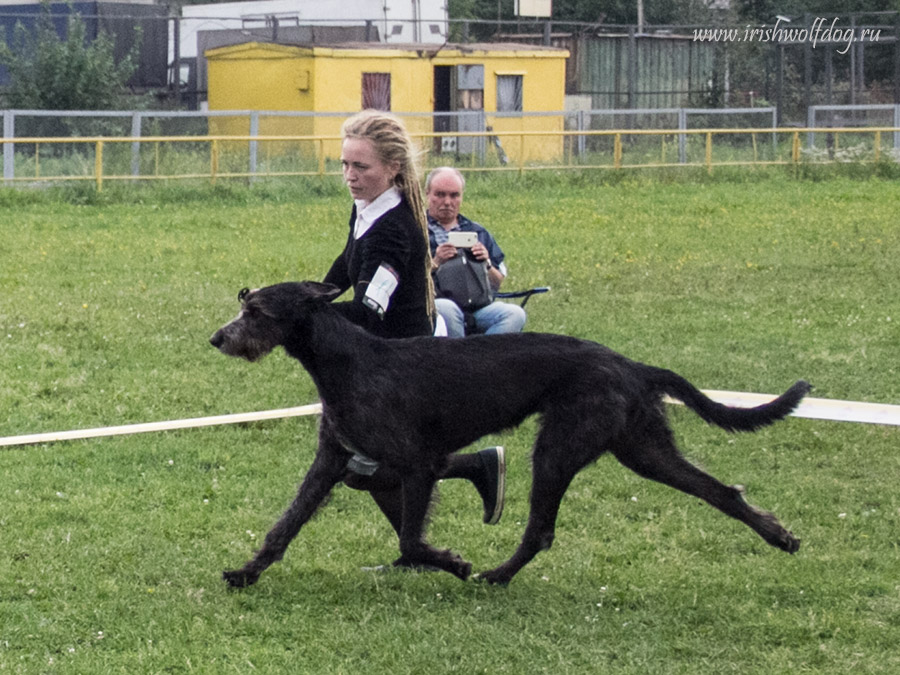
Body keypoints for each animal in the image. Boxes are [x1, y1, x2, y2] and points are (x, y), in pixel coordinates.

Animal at [211, 280, 808, 588]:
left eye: (256, 310)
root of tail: (631, 365)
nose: (217, 337)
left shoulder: (418, 464)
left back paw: (495, 576)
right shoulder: (332, 459)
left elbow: (410, 536)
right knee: (719, 490)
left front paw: (452, 562)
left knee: (539, 530)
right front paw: (247, 571)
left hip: (559, 448)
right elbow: (285, 525)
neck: (348, 359)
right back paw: (777, 534)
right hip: (642, 447)